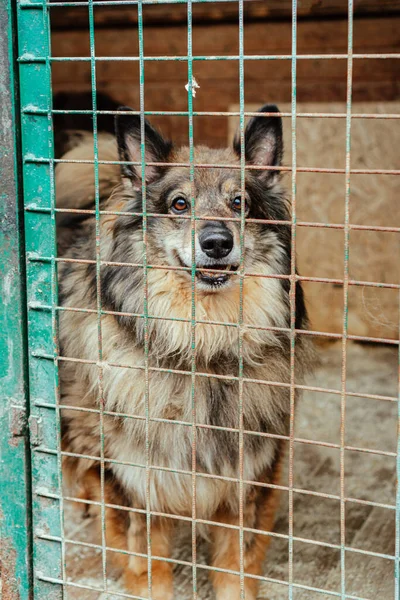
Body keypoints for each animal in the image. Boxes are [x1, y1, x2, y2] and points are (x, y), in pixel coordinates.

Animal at [57, 105, 312, 596]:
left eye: (240, 203)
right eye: (180, 204)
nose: (216, 243)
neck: (202, 350)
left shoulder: (248, 476)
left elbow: (235, 567)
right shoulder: (133, 482)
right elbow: (148, 568)